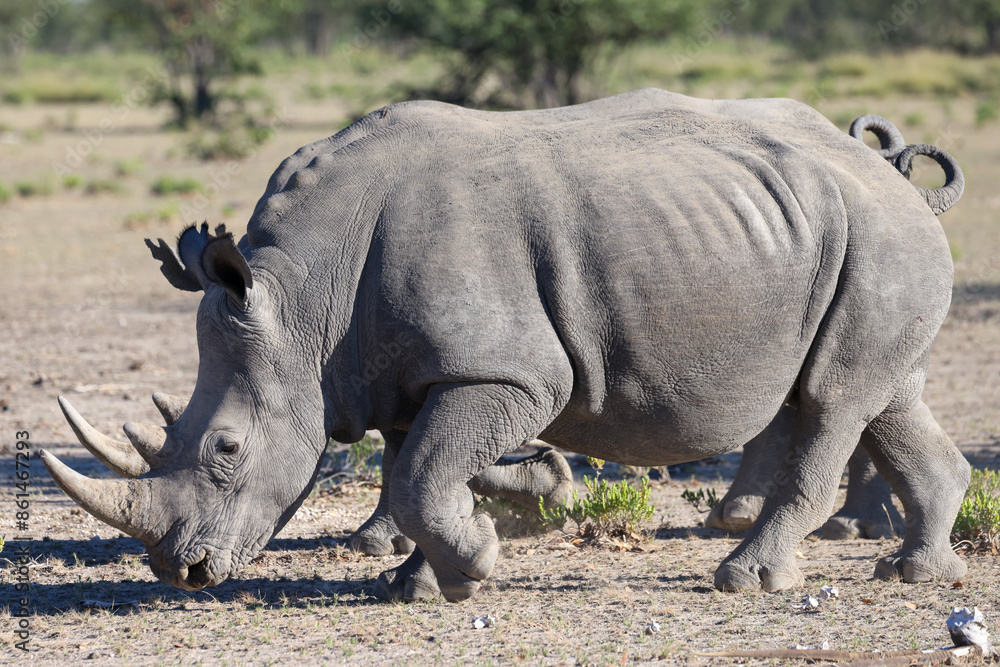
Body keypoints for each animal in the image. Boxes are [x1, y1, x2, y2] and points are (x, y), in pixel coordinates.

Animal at [42, 88, 969, 600]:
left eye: (227, 449)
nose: (182, 572)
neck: (304, 298)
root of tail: (888, 175)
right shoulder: (410, 372)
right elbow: (414, 468)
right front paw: (421, 582)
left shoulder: (505, 372)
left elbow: (420, 474)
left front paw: (475, 562)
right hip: (857, 237)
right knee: (885, 397)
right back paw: (917, 574)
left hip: (876, 236)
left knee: (832, 402)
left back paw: (747, 576)